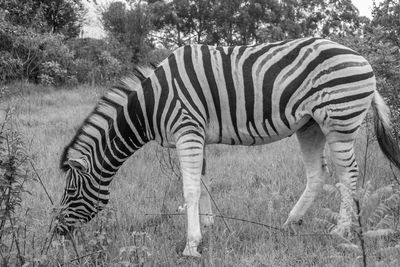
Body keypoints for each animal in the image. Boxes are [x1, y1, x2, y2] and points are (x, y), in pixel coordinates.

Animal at [55, 37, 400, 258]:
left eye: (70, 192)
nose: (57, 232)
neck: (150, 106)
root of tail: (360, 56)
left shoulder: (187, 130)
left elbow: (190, 188)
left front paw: (192, 245)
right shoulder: (196, 135)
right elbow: (203, 182)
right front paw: (208, 225)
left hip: (338, 121)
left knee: (349, 177)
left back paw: (341, 231)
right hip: (310, 125)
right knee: (318, 175)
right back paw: (291, 222)